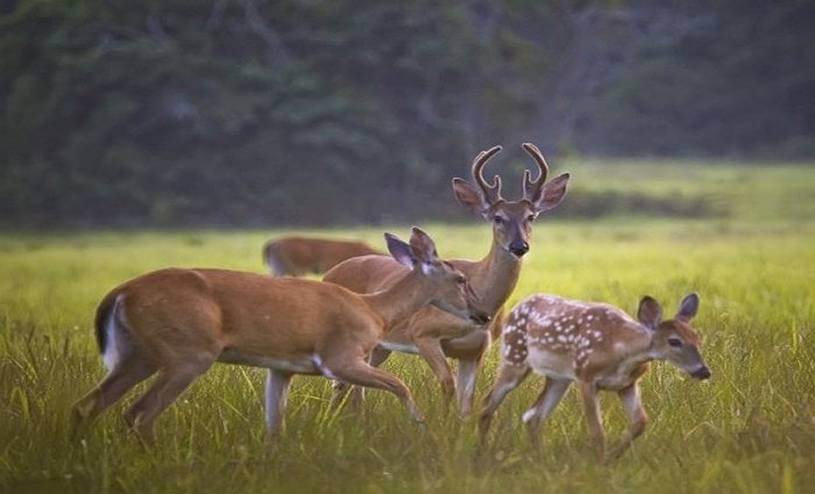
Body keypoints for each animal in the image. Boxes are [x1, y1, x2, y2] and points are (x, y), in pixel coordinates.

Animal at [70, 229, 488, 444]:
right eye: (460, 278)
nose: (483, 314)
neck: (374, 310)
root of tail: (118, 295)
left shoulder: (281, 368)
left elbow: (275, 424)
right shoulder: (340, 357)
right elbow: (401, 385)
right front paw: (423, 426)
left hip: (137, 354)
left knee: (89, 405)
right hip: (186, 353)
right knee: (139, 414)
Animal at [322, 144, 572, 416]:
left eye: (531, 216)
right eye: (497, 217)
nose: (519, 246)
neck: (480, 295)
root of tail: (330, 273)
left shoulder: (475, 351)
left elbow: (467, 400)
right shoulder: (423, 332)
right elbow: (447, 383)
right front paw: (440, 422)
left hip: (380, 346)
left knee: (354, 385)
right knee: (341, 383)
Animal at [482, 294, 712, 460]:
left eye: (697, 338)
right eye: (674, 341)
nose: (704, 371)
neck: (622, 351)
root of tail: (516, 306)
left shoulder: (627, 384)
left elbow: (640, 422)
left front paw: (612, 458)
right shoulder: (586, 377)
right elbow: (597, 431)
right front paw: (601, 464)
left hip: (560, 378)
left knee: (534, 417)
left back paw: (541, 459)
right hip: (514, 357)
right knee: (489, 402)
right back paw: (482, 450)